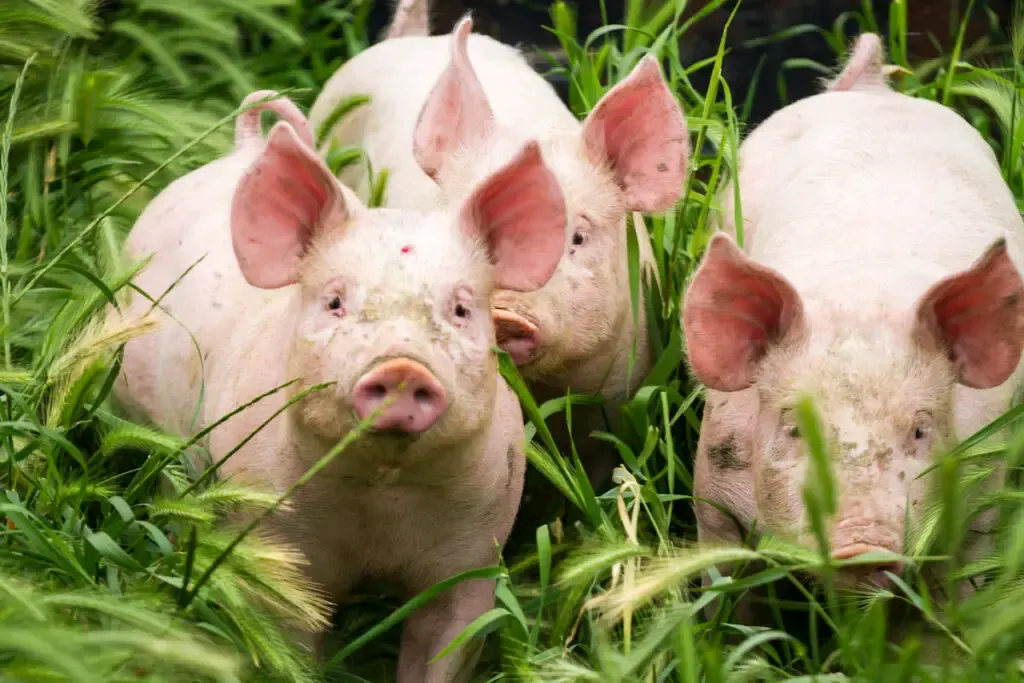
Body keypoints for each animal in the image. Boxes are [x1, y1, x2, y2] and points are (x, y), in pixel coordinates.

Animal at [117, 88, 577, 679]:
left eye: (460, 309)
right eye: (335, 301)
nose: (402, 368)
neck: (382, 497)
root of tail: (243, 150)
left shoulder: (475, 552)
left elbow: (445, 646)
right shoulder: (275, 544)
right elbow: (292, 639)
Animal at [679, 34, 1024, 606]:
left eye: (920, 430)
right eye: (795, 427)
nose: (863, 546)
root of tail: (874, 88)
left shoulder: (982, 497)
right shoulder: (715, 484)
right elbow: (725, 584)